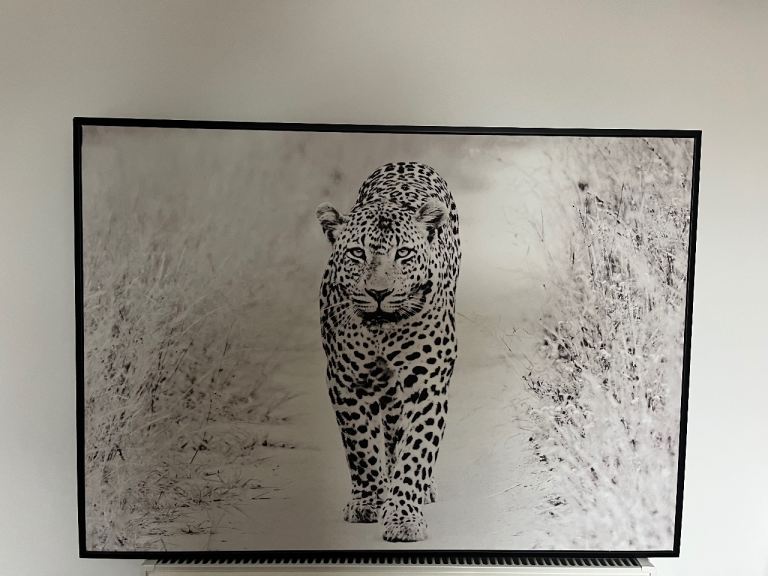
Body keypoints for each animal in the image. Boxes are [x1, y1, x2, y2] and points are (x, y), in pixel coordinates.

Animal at [315, 161, 460, 542]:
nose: (378, 292)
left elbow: (417, 450)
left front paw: (405, 516)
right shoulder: (346, 381)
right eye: (357, 253)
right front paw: (368, 501)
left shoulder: (427, 383)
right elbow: (360, 446)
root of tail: (409, 162)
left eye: (403, 254)